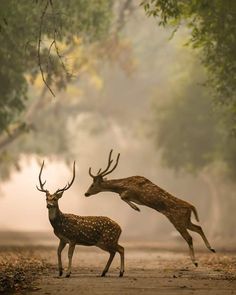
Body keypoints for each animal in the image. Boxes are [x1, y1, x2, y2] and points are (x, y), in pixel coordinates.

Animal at [85, 150, 216, 268]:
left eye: (92, 185)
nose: (86, 193)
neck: (122, 185)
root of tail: (191, 207)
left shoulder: (131, 191)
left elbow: (122, 196)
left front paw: (136, 208)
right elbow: (122, 197)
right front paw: (136, 207)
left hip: (177, 220)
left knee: (189, 237)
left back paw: (195, 261)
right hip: (186, 220)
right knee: (198, 227)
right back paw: (211, 248)